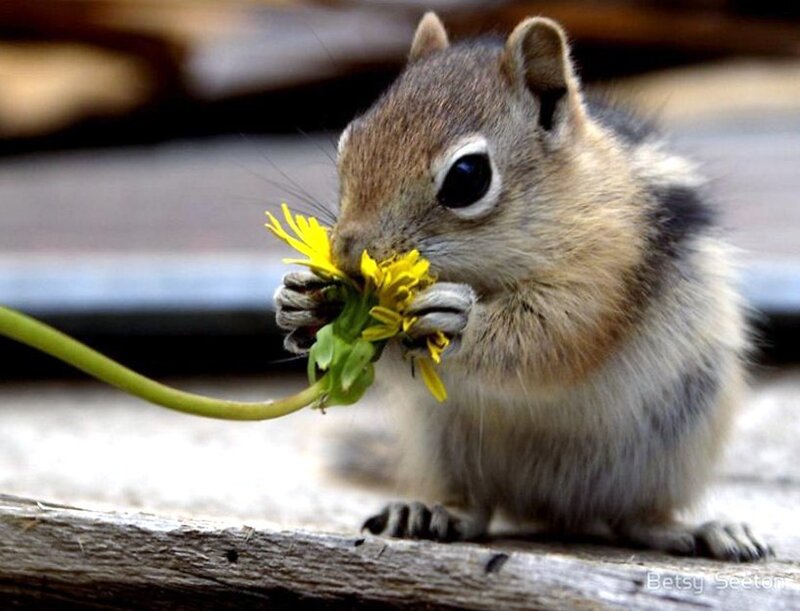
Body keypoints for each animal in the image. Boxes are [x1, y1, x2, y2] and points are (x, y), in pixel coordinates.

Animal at [275, 12, 772, 561]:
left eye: (467, 176)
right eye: (349, 142)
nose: (346, 254)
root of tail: (555, 508)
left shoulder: (604, 272)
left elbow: (550, 338)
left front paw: (457, 319)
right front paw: (299, 302)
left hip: (673, 444)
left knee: (638, 519)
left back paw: (702, 531)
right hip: (444, 444)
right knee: (478, 507)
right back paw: (428, 511)